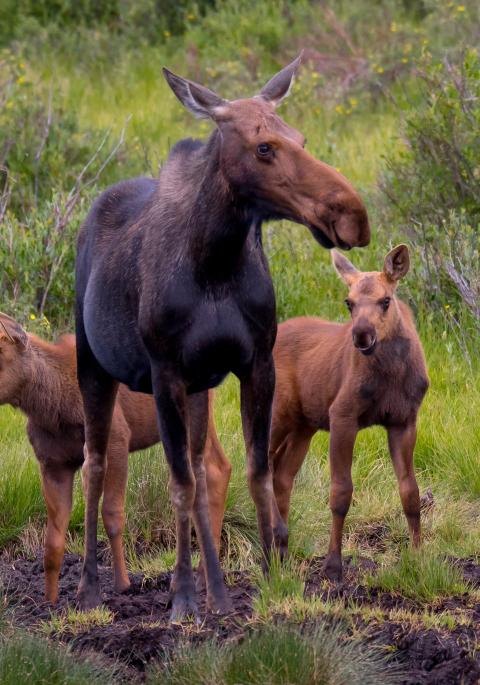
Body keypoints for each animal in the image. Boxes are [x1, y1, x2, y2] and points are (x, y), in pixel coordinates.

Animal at [0, 313, 230, 604]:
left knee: (215, 469)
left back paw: (202, 578)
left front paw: (122, 584)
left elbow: (111, 513)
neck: (51, 408)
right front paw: (49, 602)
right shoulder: (52, 463)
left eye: (0, 352)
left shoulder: (118, 439)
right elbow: (53, 541)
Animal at [75, 54, 370, 620]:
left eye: (300, 136)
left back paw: (215, 589)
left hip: (198, 387)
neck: (214, 258)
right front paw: (185, 598)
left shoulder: (256, 363)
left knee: (202, 465)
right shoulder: (165, 372)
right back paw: (90, 588)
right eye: (264, 147)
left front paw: (269, 576)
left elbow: (255, 472)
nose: (352, 214)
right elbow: (178, 484)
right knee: (94, 463)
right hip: (94, 366)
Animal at [205, 245, 429, 581]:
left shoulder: (404, 420)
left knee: (282, 473)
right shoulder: (343, 415)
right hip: (276, 415)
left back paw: (281, 551)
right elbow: (341, 493)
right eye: (349, 302)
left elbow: (410, 492)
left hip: (303, 426)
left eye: (385, 300)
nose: (362, 335)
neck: (392, 373)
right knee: (258, 464)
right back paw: (277, 540)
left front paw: (417, 558)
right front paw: (333, 565)